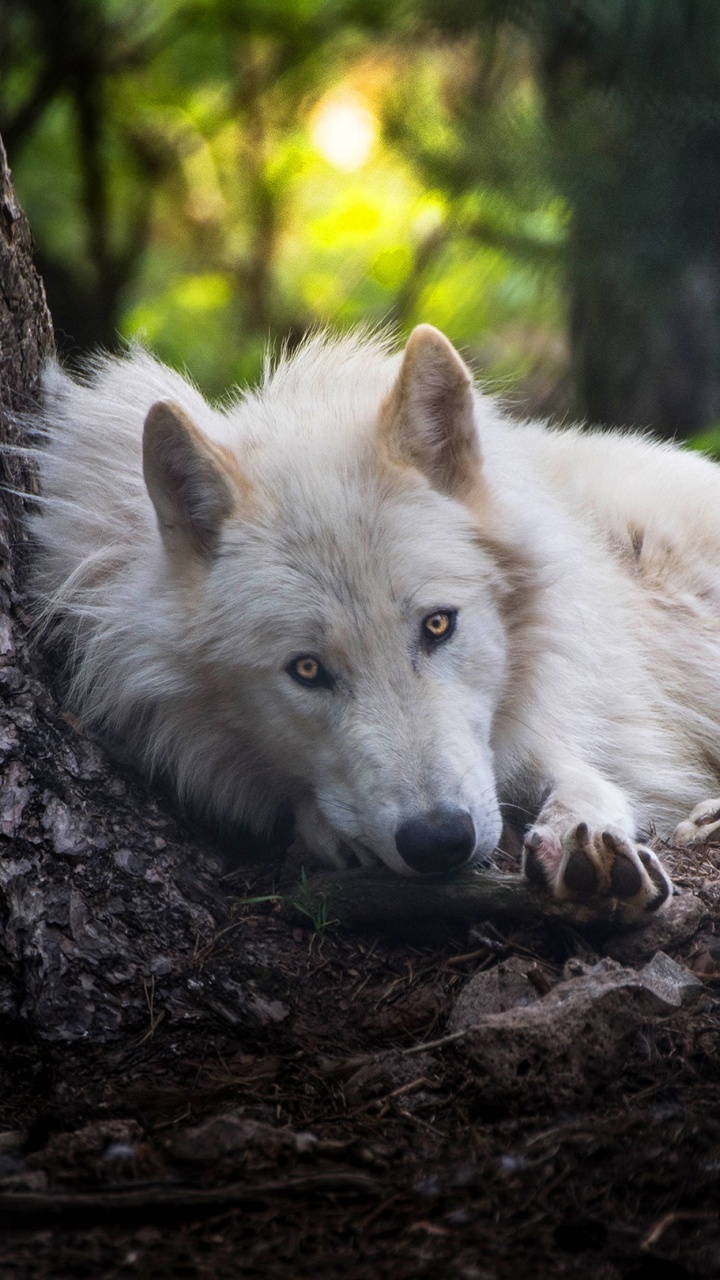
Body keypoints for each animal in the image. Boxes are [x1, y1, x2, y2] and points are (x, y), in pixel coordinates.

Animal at [29, 324, 720, 921]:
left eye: (438, 626)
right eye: (307, 669)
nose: (439, 841)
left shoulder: (549, 725)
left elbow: (583, 781)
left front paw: (584, 844)